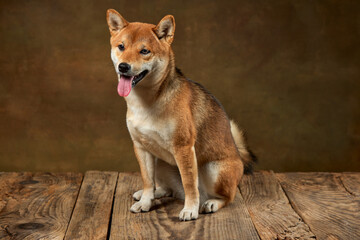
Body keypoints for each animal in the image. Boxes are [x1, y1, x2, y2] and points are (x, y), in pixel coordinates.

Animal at [105, 9, 255, 221]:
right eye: (121, 47)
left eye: (144, 51)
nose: (123, 67)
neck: (147, 102)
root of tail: (240, 158)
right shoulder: (141, 147)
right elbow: (147, 180)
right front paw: (145, 201)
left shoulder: (183, 148)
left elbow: (190, 184)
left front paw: (190, 209)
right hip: (160, 161)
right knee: (167, 188)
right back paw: (150, 193)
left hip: (214, 170)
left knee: (228, 196)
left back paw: (211, 202)